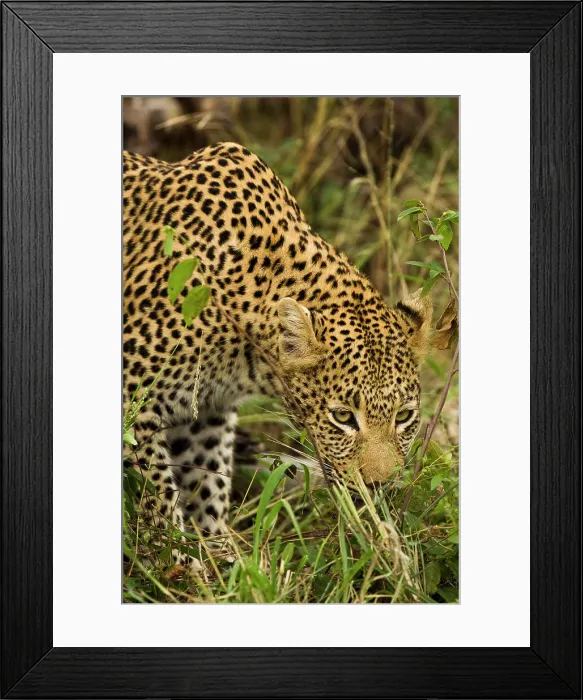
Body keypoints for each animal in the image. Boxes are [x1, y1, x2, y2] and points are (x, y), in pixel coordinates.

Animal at [123, 141, 432, 568]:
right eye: (342, 418)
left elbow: (206, 479)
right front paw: (179, 563)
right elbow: (157, 493)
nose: (377, 486)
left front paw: (223, 556)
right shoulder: (133, 400)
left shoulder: (207, 411)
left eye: (404, 417)